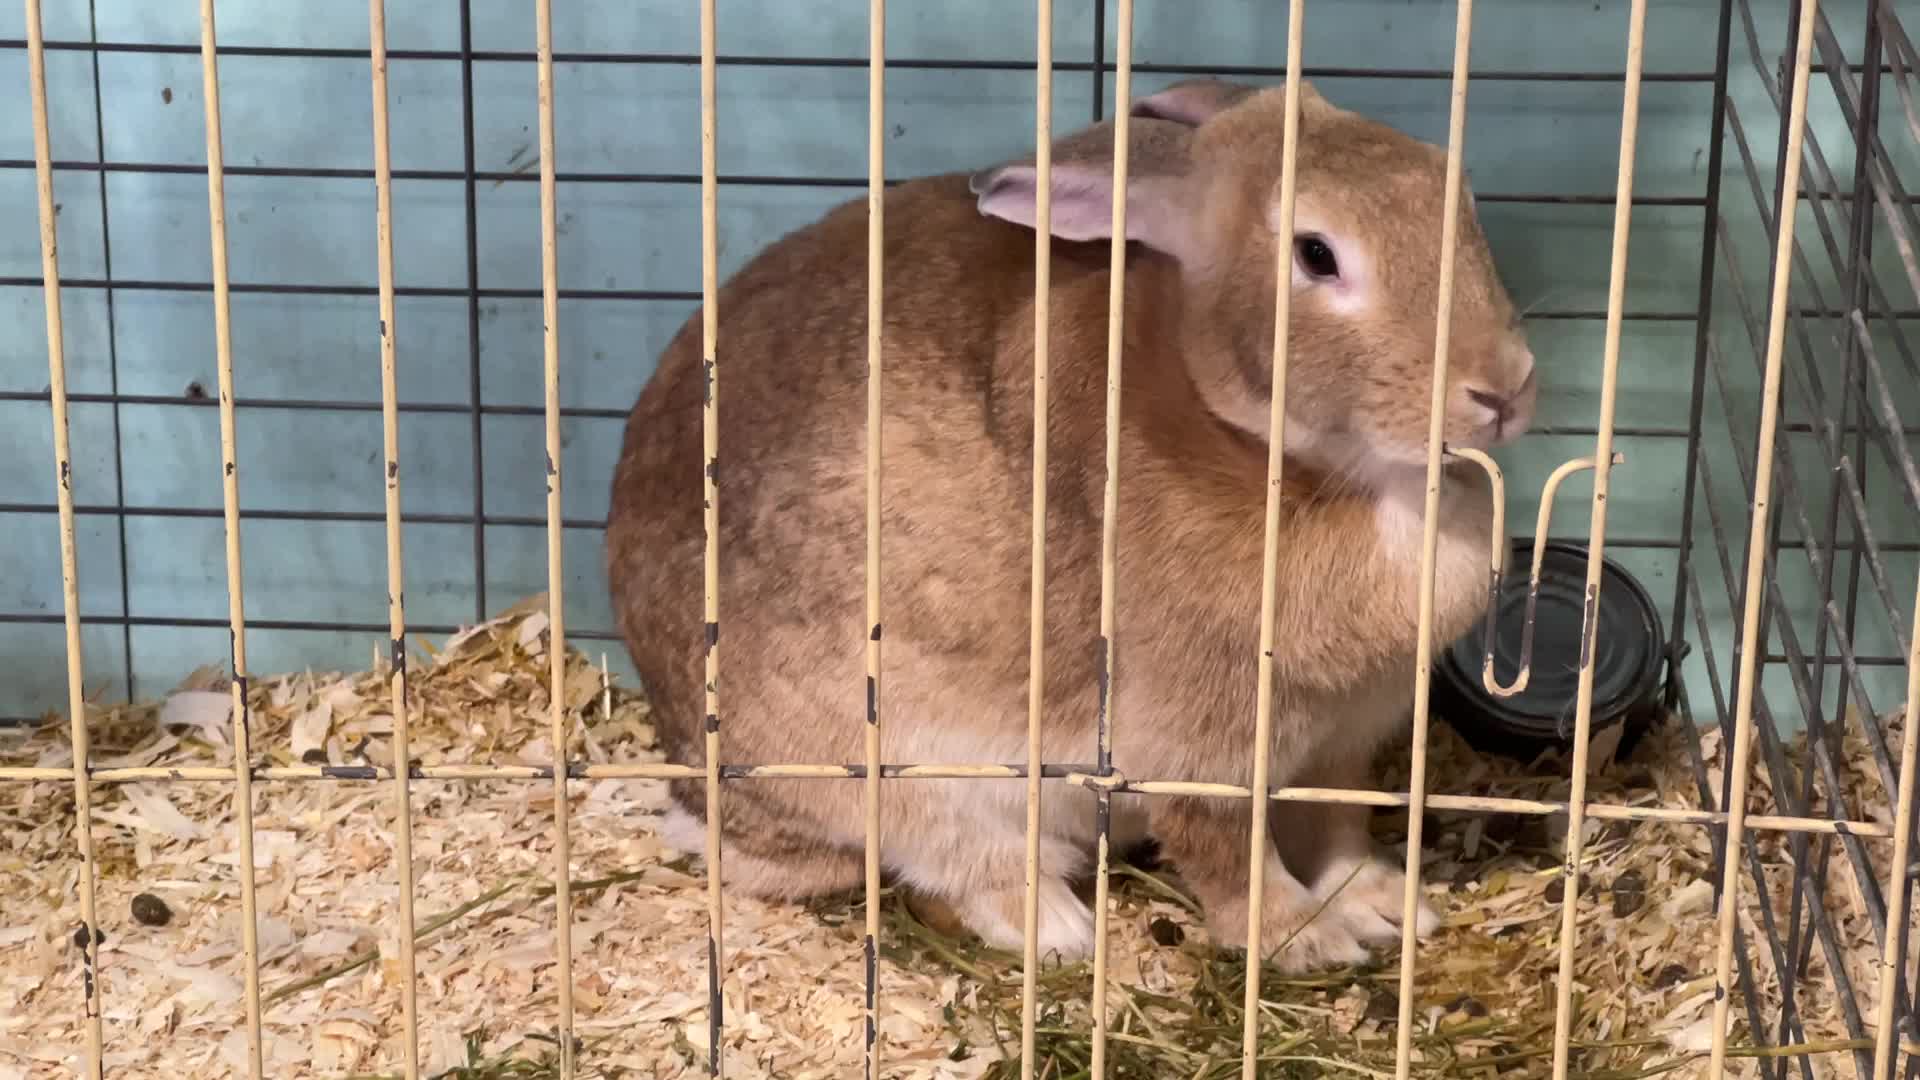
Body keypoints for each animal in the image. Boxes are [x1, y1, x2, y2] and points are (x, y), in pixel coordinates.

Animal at [606, 76, 1536, 971]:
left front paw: (1387, 904)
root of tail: (692, 781)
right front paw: (1305, 938)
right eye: (1316, 254)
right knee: (953, 860)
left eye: (1456, 190)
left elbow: (1338, 827)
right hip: (896, 770)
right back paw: (1058, 928)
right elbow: (1233, 855)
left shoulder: (1338, 746)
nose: (1505, 388)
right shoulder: (1196, 746)